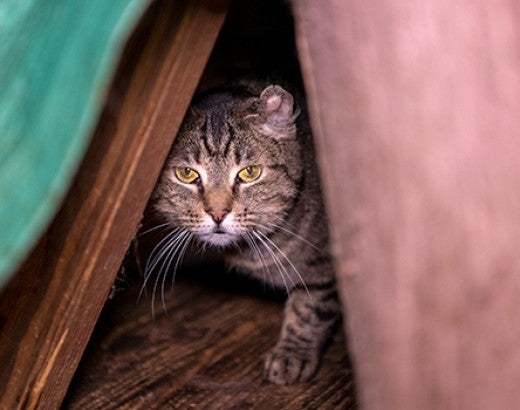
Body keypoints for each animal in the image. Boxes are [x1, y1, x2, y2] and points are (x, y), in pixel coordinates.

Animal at [149, 79, 342, 384]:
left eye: (250, 173)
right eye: (187, 174)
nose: (217, 214)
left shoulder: (324, 263)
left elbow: (310, 307)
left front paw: (293, 354)